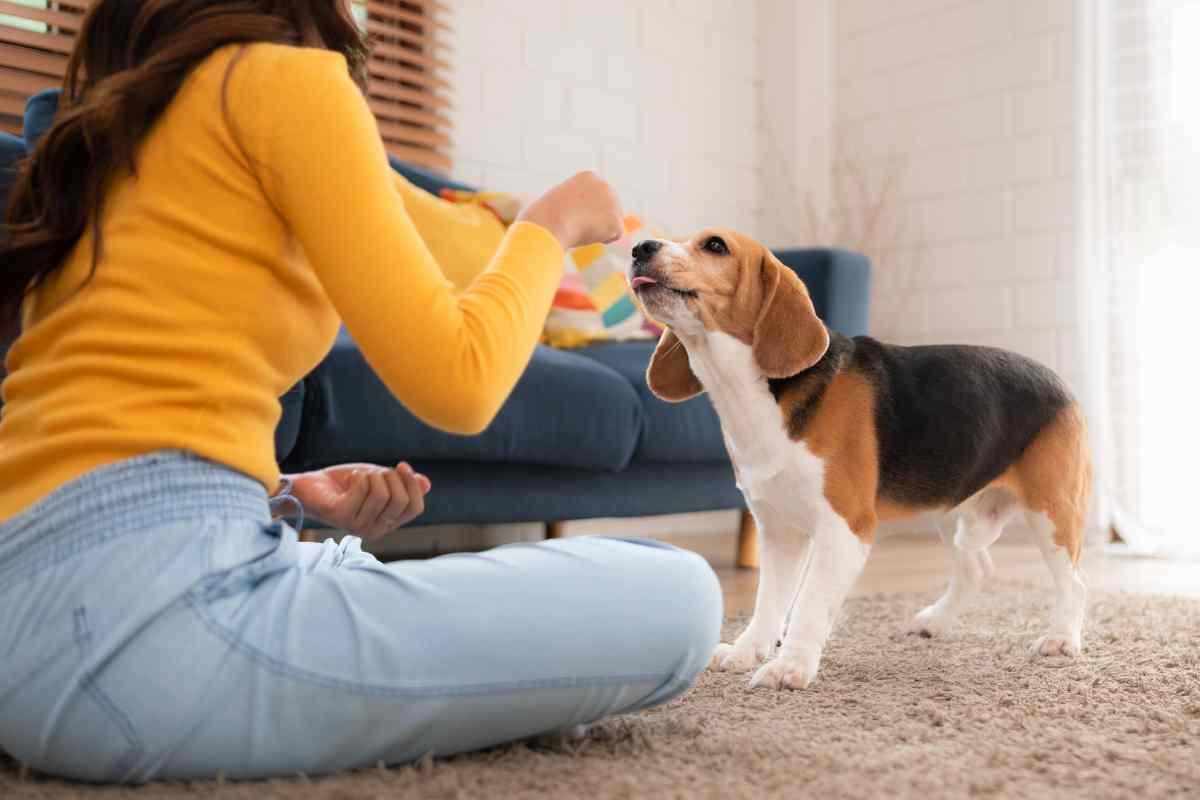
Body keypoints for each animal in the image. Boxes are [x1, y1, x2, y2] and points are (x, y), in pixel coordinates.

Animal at [633, 230, 1094, 690]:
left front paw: (789, 667)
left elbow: (809, 603)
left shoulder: (844, 529)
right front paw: (749, 651)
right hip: (950, 507)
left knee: (1073, 583)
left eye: (715, 246)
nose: (640, 248)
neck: (754, 392)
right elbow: (770, 600)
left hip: (1051, 512)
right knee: (977, 568)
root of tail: (1060, 383)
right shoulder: (778, 530)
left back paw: (1060, 639)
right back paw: (936, 621)